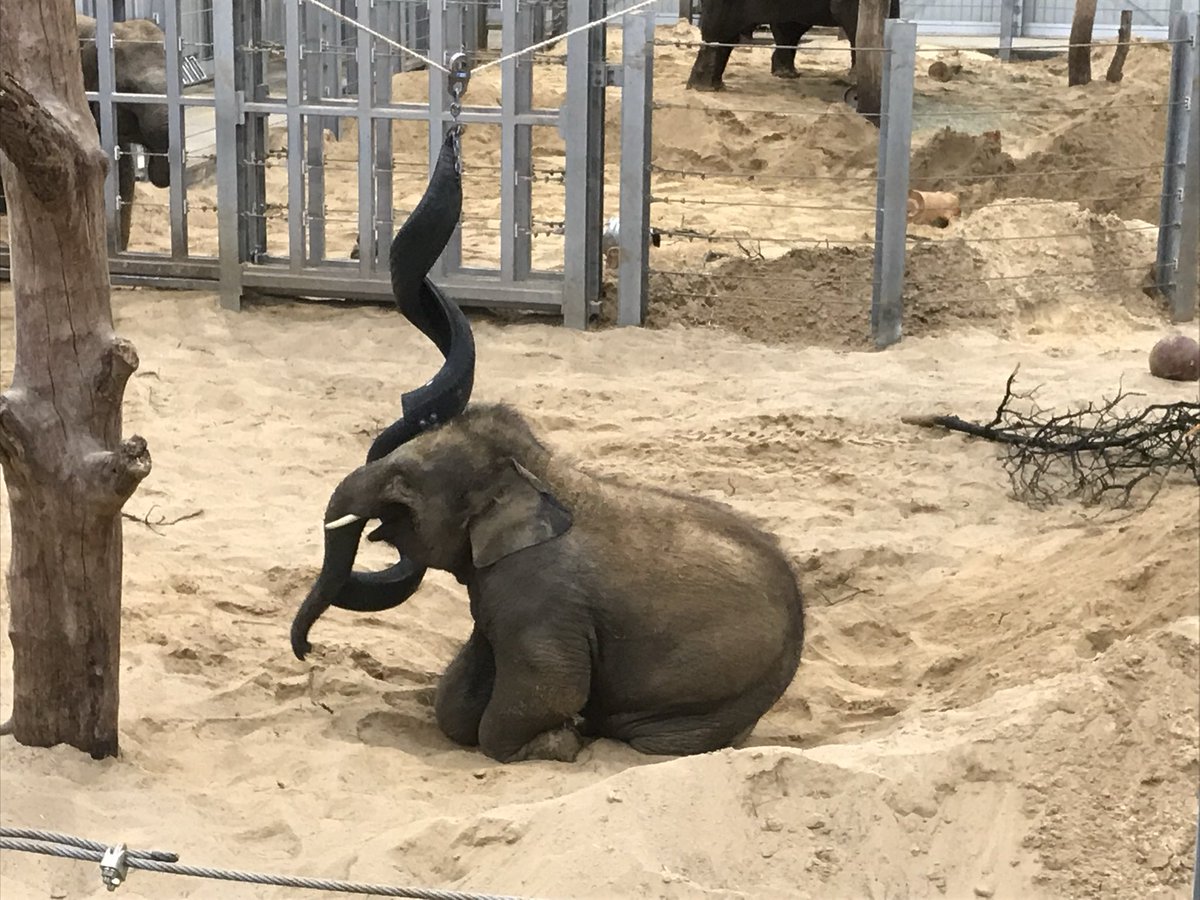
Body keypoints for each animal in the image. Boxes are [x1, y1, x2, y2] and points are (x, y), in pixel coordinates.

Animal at [297, 403, 806, 764]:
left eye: (403, 481)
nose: (307, 651)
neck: (541, 471)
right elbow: (462, 695)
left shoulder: (543, 597)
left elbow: (549, 687)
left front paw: (560, 742)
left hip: (711, 697)